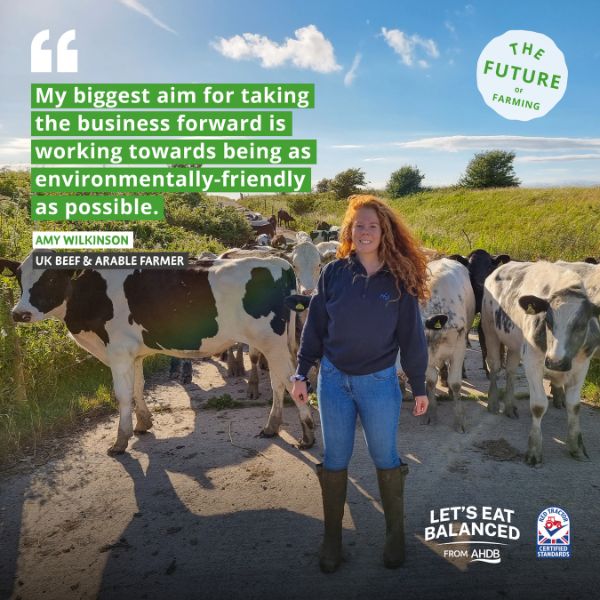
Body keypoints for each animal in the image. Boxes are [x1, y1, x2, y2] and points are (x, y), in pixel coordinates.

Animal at [0, 253, 316, 454]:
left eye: (51, 279)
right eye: (19, 278)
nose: (19, 313)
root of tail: (278, 262)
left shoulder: (118, 351)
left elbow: (122, 395)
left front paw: (120, 441)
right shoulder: (134, 353)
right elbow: (138, 387)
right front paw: (143, 423)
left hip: (271, 341)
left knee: (290, 381)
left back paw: (307, 434)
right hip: (272, 344)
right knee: (278, 382)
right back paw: (272, 427)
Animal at [482, 262, 600, 464]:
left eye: (581, 325)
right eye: (548, 321)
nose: (555, 362)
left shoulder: (582, 365)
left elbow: (574, 406)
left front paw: (576, 447)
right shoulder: (532, 361)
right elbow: (538, 405)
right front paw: (534, 450)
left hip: (515, 344)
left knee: (511, 371)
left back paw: (510, 405)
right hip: (490, 330)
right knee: (495, 367)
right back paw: (494, 402)